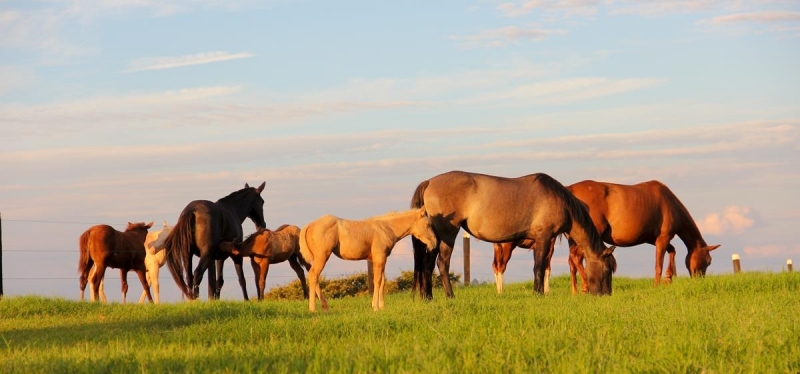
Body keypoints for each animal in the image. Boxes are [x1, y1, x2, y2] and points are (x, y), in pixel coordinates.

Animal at [300, 206, 438, 312]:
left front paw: (382, 306)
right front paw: (375, 307)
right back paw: (313, 309)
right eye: (428, 224)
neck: (386, 228)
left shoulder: (382, 259)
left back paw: (325, 307)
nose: (434, 243)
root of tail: (309, 225)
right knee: (313, 275)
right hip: (322, 257)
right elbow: (377, 281)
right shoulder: (379, 258)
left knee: (314, 277)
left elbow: (382, 281)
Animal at [412, 171, 620, 300]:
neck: (560, 201)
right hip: (447, 234)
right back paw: (448, 296)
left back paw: (428, 297)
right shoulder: (544, 238)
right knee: (440, 263)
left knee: (428, 264)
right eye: (607, 269)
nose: (606, 295)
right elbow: (539, 267)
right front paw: (538, 294)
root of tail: (429, 182)